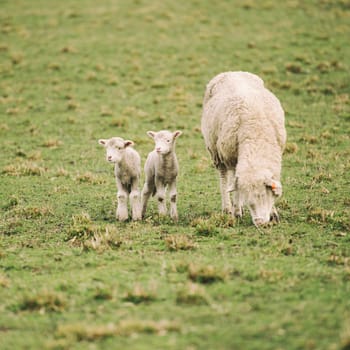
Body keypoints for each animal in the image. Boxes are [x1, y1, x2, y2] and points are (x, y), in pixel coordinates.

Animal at [201, 71, 286, 226]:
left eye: (263, 194)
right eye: (249, 201)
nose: (260, 222)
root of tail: (231, 72)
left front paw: (273, 213)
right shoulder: (231, 157)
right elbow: (235, 186)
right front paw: (236, 211)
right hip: (217, 151)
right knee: (224, 178)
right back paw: (228, 208)